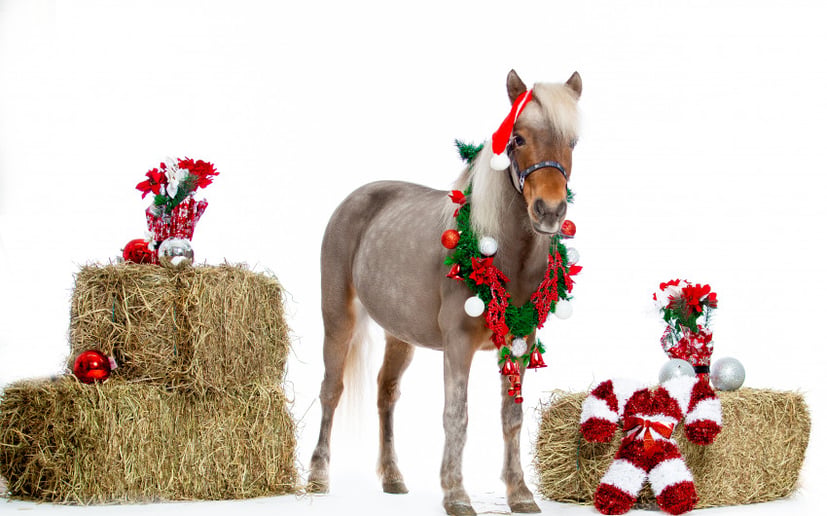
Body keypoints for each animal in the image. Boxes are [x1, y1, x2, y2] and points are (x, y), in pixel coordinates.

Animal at [308, 70, 582, 516]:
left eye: (572, 141)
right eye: (518, 138)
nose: (550, 211)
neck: (502, 254)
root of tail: (356, 198)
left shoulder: (521, 342)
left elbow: (512, 417)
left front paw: (520, 493)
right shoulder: (458, 344)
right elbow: (457, 415)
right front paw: (455, 494)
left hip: (399, 335)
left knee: (386, 393)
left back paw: (393, 477)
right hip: (337, 318)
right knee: (331, 389)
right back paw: (317, 474)